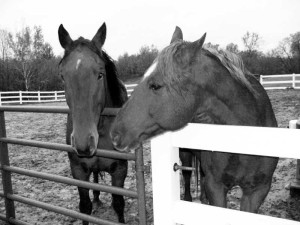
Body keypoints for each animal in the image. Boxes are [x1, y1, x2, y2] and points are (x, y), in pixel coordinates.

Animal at [58, 23, 127, 224]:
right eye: (63, 76)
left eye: (100, 74)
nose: (83, 143)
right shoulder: (78, 171)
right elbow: (84, 207)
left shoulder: (119, 171)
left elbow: (118, 204)